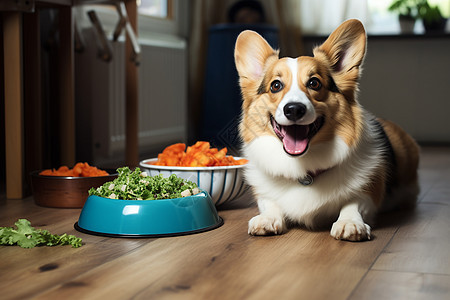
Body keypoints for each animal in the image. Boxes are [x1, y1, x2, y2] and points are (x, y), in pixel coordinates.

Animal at [234, 19, 420, 241]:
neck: (304, 170)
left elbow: (353, 202)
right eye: (276, 86)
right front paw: (267, 219)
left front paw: (350, 222)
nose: (294, 109)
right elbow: (270, 203)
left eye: (314, 83)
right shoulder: (264, 194)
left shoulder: (369, 193)